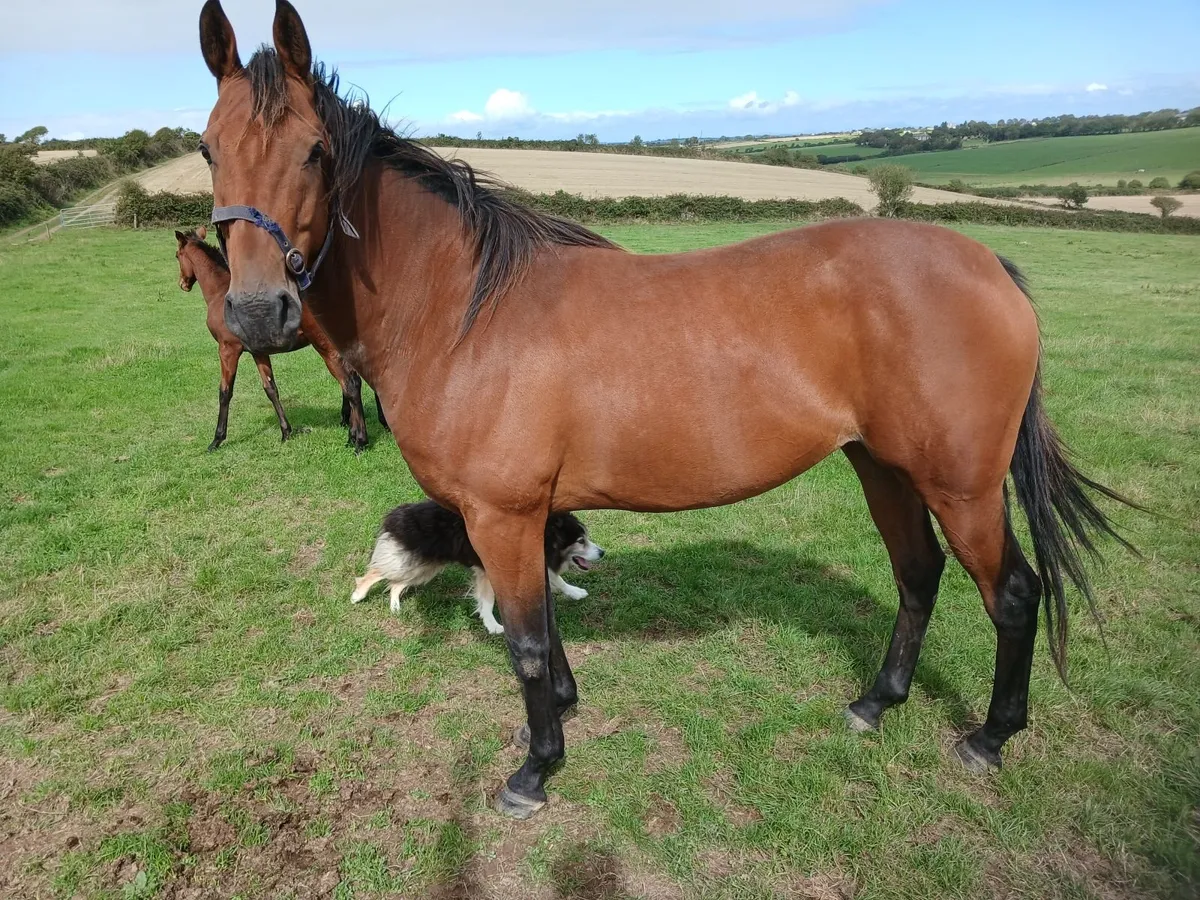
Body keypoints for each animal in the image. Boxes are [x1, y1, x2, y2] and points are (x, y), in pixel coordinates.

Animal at [174, 226, 388, 451]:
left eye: (177, 255)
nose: (183, 284)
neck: (219, 292)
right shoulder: (258, 353)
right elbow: (270, 388)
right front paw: (286, 431)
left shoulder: (227, 349)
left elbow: (225, 391)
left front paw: (217, 439)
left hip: (327, 348)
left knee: (351, 383)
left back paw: (358, 438)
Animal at [196, 0, 1135, 819]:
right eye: (207, 149)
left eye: (316, 150)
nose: (257, 313)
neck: (464, 311)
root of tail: (987, 266)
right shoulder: (524, 517)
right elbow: (542, 621)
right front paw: (564, 711)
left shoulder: (502, 513)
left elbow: (525, 642)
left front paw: (534, 771)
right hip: (883, 467)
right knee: (918, 573)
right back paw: (876, 703)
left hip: (962, 485)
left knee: (1012, 593)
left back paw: (989, 738)